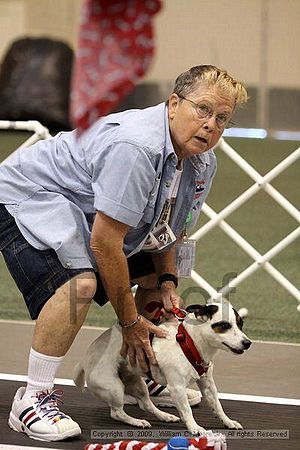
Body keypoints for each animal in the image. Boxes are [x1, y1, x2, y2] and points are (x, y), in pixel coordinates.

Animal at [74, 300, 252, 434]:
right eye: (224, 325)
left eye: (241, 324)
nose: (248, 343)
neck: (190, 342)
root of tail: (84, 360)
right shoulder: (177, 388)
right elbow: (187, 410)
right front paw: (194, 427)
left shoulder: (208, 385)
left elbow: (218, 406)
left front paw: (228, 422)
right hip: (114, 388)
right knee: (117, 413)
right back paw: (137, 421)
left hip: (137, 384)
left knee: (145, 404)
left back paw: (165, 416)